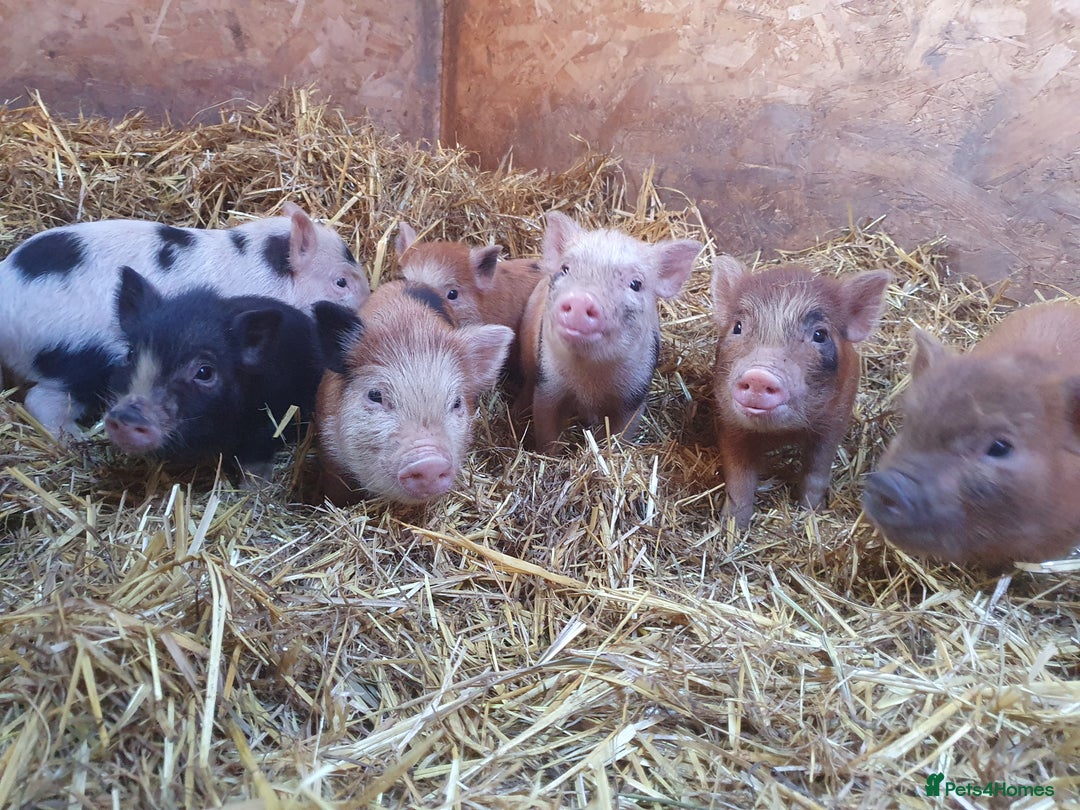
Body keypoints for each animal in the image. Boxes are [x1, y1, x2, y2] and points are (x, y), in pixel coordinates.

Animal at [104, 266, 326, 481]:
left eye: (204, 372)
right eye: (131, 354)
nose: (127, 415)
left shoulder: (271, 421)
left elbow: (254, 460)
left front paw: (252, 485)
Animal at [518, 211, 701, 451]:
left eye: (635, 284)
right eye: (565, 269)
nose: (580, 299)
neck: (589, 376)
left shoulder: (634, 395)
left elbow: (621, 434)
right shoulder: (547, 384)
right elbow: (546, 429)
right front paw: (550, 454)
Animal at [710, 256, 891, 528]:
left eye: (820, 334)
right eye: (738, 327)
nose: (759, 375)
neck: (781, 433)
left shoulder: (834, 421)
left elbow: (816, 472)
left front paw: (812, 512)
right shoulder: (729, 423)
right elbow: (739, 478)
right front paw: (731, 526)